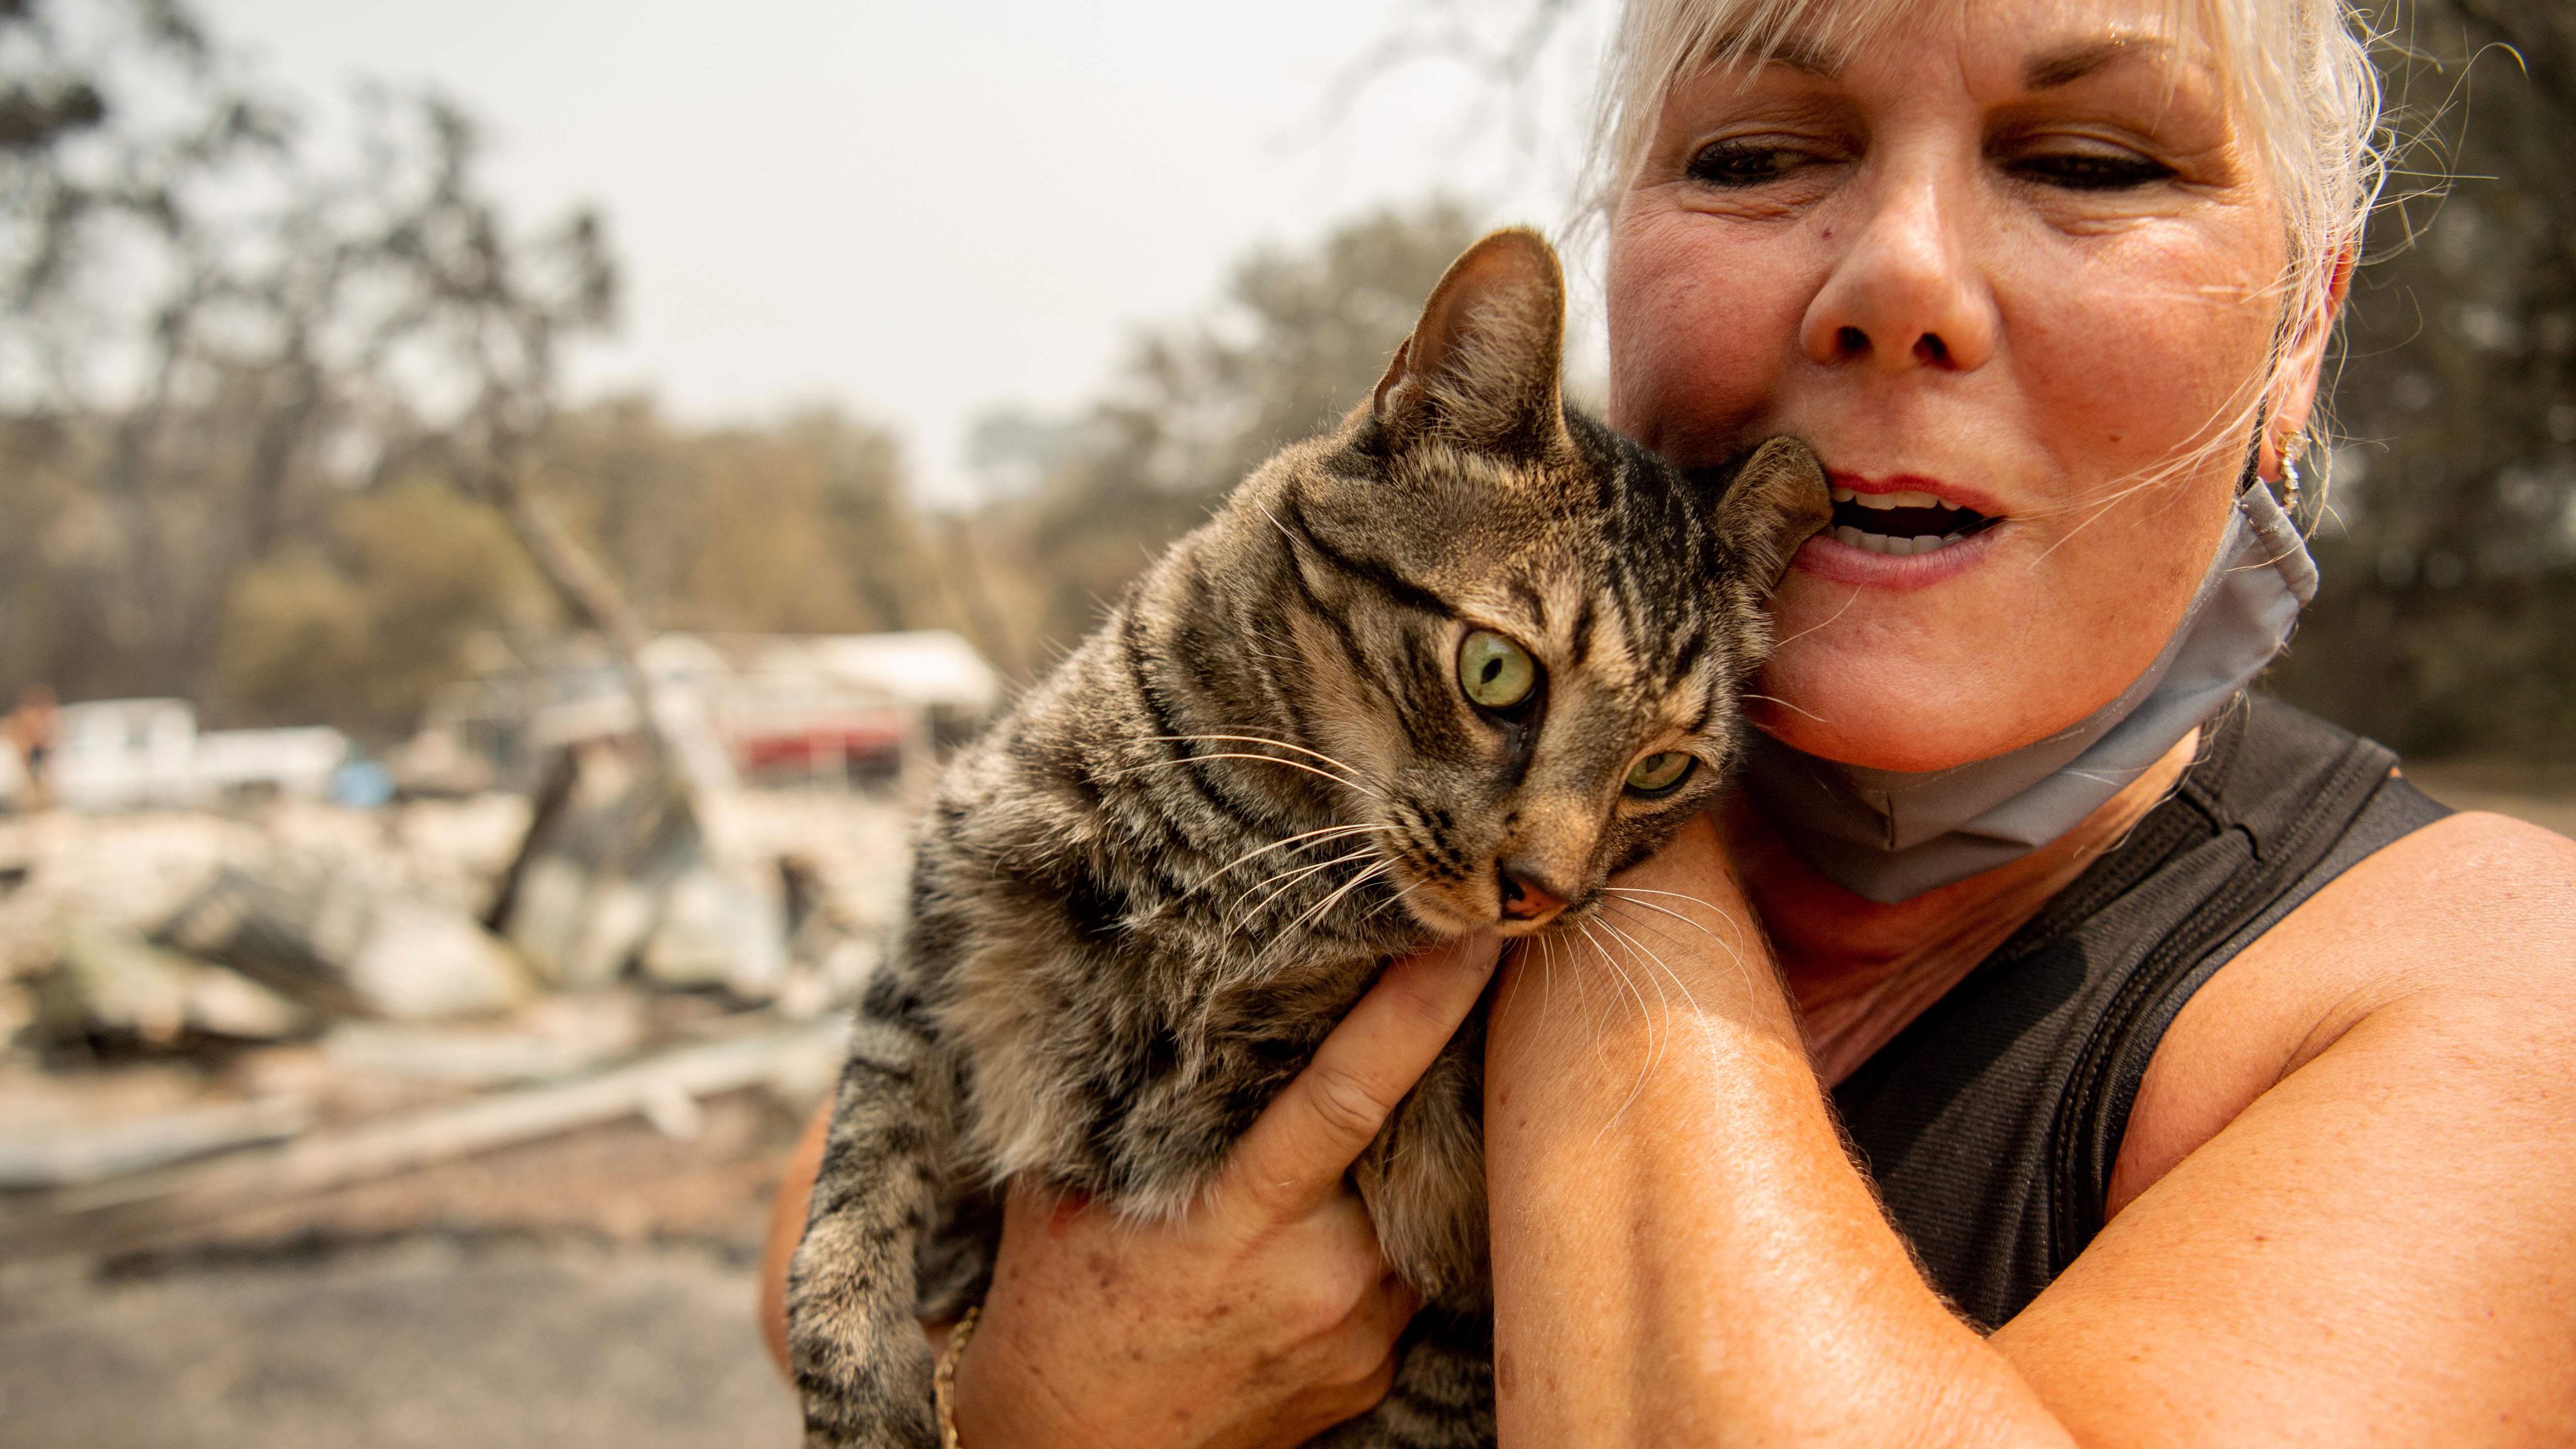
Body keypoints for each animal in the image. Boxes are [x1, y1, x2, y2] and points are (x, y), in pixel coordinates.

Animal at [783, 229, 1834, 1449]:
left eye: (1660, 770)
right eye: (1497, 672)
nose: (1542, 888)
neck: (1239, 851)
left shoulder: (1455, 1275)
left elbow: (1417, 1417)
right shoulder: (939, 933)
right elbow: (859, 1166)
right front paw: (862, 1377)